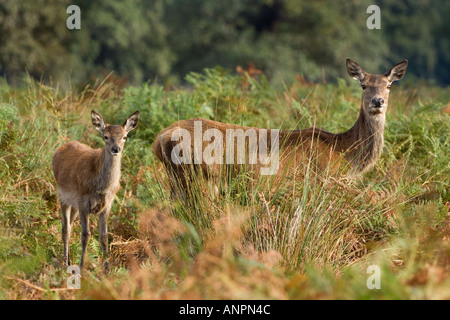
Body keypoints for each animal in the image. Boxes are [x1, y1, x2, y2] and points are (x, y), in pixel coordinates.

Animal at [52, 110, 139, 270]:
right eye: (106, 136)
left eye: (125, 137)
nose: (116, 149)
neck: (101, 187)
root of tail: (59, 148)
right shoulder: (83, 202)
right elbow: (85, 235)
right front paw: (82, 267)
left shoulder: (107, 205)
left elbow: (104, 236)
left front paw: (107, 269)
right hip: (63, 196)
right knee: (65, 228)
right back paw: (65, 261)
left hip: (74, 204)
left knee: (69, 225)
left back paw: (68, 260)